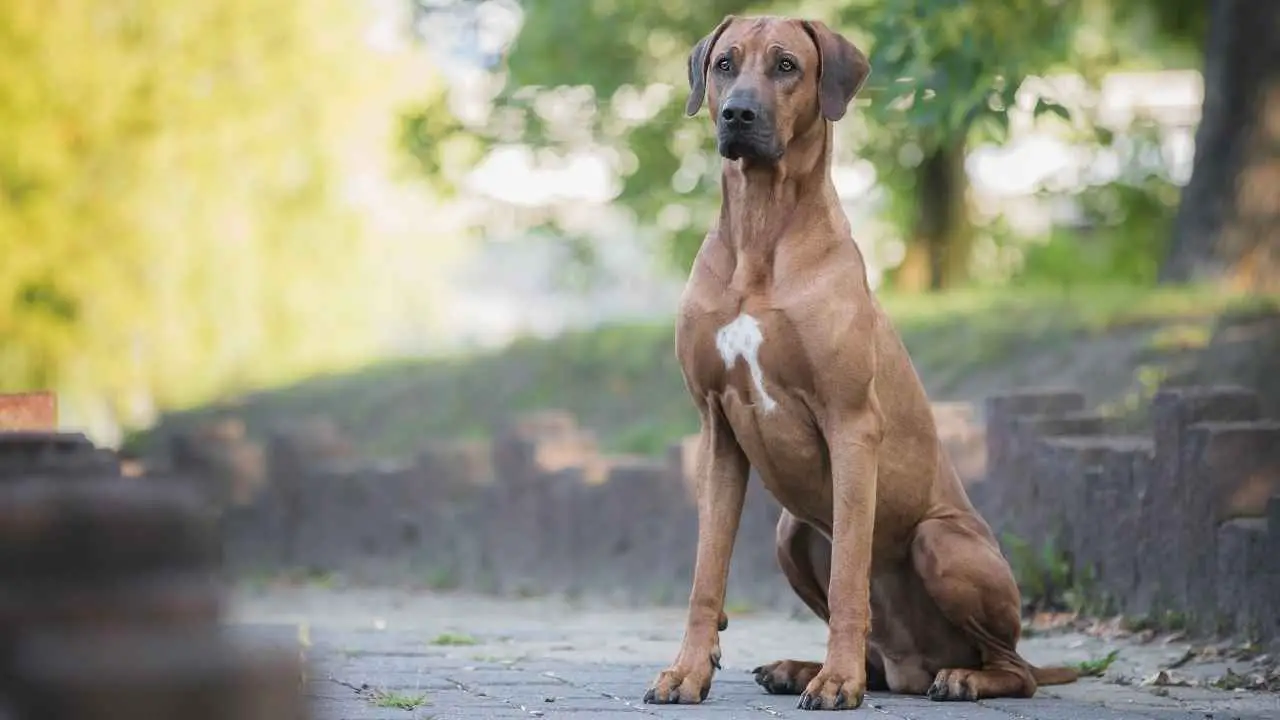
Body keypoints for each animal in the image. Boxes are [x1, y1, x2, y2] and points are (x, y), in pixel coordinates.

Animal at [640, 15, 1080, 707]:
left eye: (787, 65)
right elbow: (706, 573)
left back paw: (957, 678)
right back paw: (804, 667)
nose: (737, 114)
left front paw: (837, 683)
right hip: (790, 532)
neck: (761, 230)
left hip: (943, 541)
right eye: (724, 64)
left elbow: (850, 571)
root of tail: (914, 665)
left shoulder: (849, 423)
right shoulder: (717, 428)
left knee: (1016, 668)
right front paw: (688, 670)